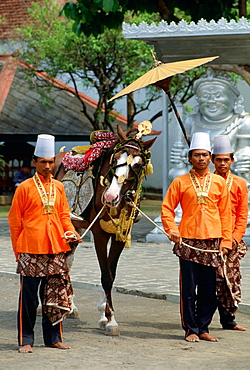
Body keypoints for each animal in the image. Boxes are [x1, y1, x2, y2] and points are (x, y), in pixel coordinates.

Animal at [53, 123, 156, 334]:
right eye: (114, 159)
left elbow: (111, 272)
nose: (110, 197)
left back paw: (70, 305)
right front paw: (110, 319)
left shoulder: (120, 234)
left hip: (75, 226)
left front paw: (105, 315)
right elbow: (106, 276)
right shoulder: (99, 234)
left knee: (67, 260)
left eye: (138, 164)